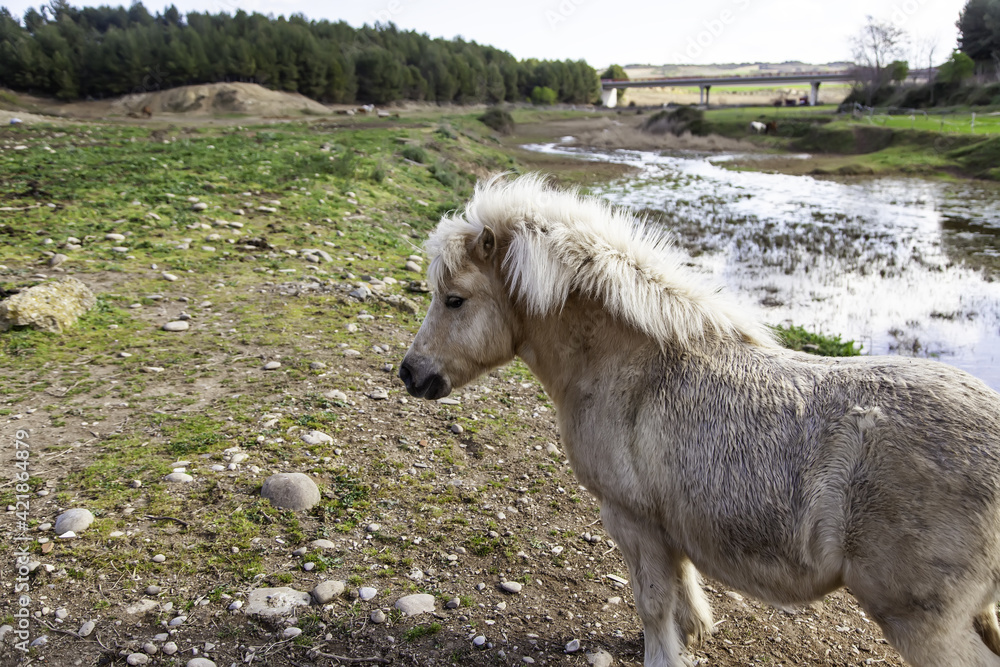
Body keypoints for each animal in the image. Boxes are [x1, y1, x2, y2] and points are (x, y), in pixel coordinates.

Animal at [399, 174, 1000, 667]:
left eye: (454, 299)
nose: (410, 373)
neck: (635, 369)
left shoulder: (633, 520)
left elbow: (651, 602)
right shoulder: (669, 523)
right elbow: (682, 587)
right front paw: (693, 632)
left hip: (923, 625)